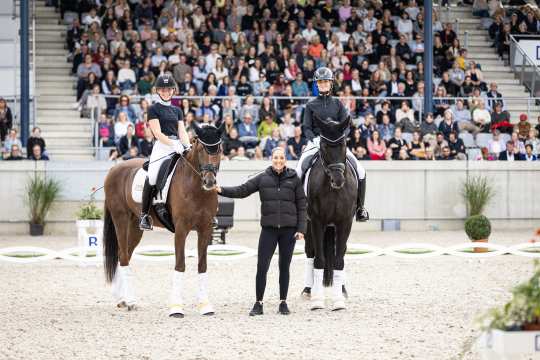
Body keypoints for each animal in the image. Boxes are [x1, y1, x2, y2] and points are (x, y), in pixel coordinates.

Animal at [102, 123, 223, 318]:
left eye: (218, 149)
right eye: (201, 149)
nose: (209, 182)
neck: (195, 187)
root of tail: (114, 169)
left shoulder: (206, 229)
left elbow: (202, 265)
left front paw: (205, 306)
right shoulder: (181, 229)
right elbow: (180, 265)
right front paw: (176, 308)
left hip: (135, 226)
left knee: (124, 254)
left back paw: (122, 299)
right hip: (120, 218)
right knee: (123, 256)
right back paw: (131, 301)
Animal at [302, 118, 356, 310]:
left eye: (344, 144)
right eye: (324, 146)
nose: (338, 180)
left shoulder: (345, 222)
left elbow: (339, 260)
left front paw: (339, 300)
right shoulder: (317, 221)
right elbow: (319, 260)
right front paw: (317, 301)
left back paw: (343, 289)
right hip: (309, 226)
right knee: (310, 254)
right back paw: (308, 290)